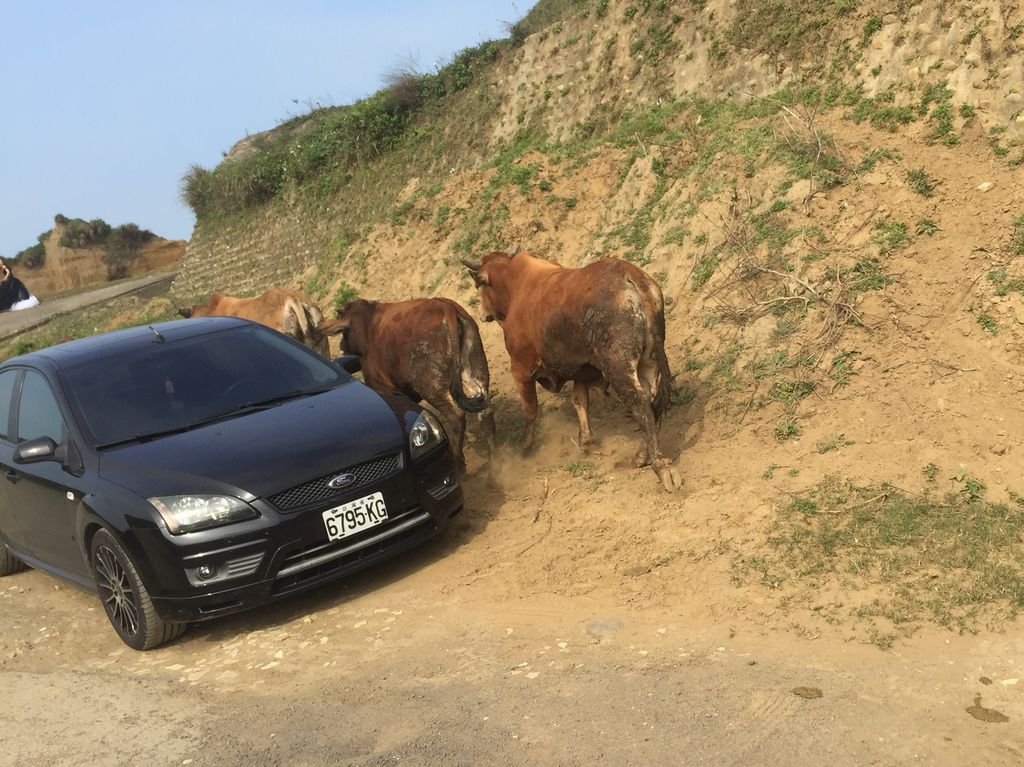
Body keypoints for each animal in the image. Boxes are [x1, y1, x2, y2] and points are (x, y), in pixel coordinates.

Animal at [319, 296, 495, 469]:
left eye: (343, 332)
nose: (341, 347)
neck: (367, 329)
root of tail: (445, 307)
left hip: (432, 388)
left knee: (456, 418)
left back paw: (458, 462)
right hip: (475, 370)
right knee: (485, 412)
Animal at [460, 249, 675, 491]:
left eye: (479, 284)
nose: (482, 313)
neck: (515, 287)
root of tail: (626, 272)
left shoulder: (520, 369)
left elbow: (531, 409)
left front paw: (525, 447)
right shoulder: (582, 369)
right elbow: (580, 401)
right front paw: (585, 441)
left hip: (619, 365)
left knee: (640, 404)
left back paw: (660, 466)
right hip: (650, 358)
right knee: (652, 399)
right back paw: (642, 456)